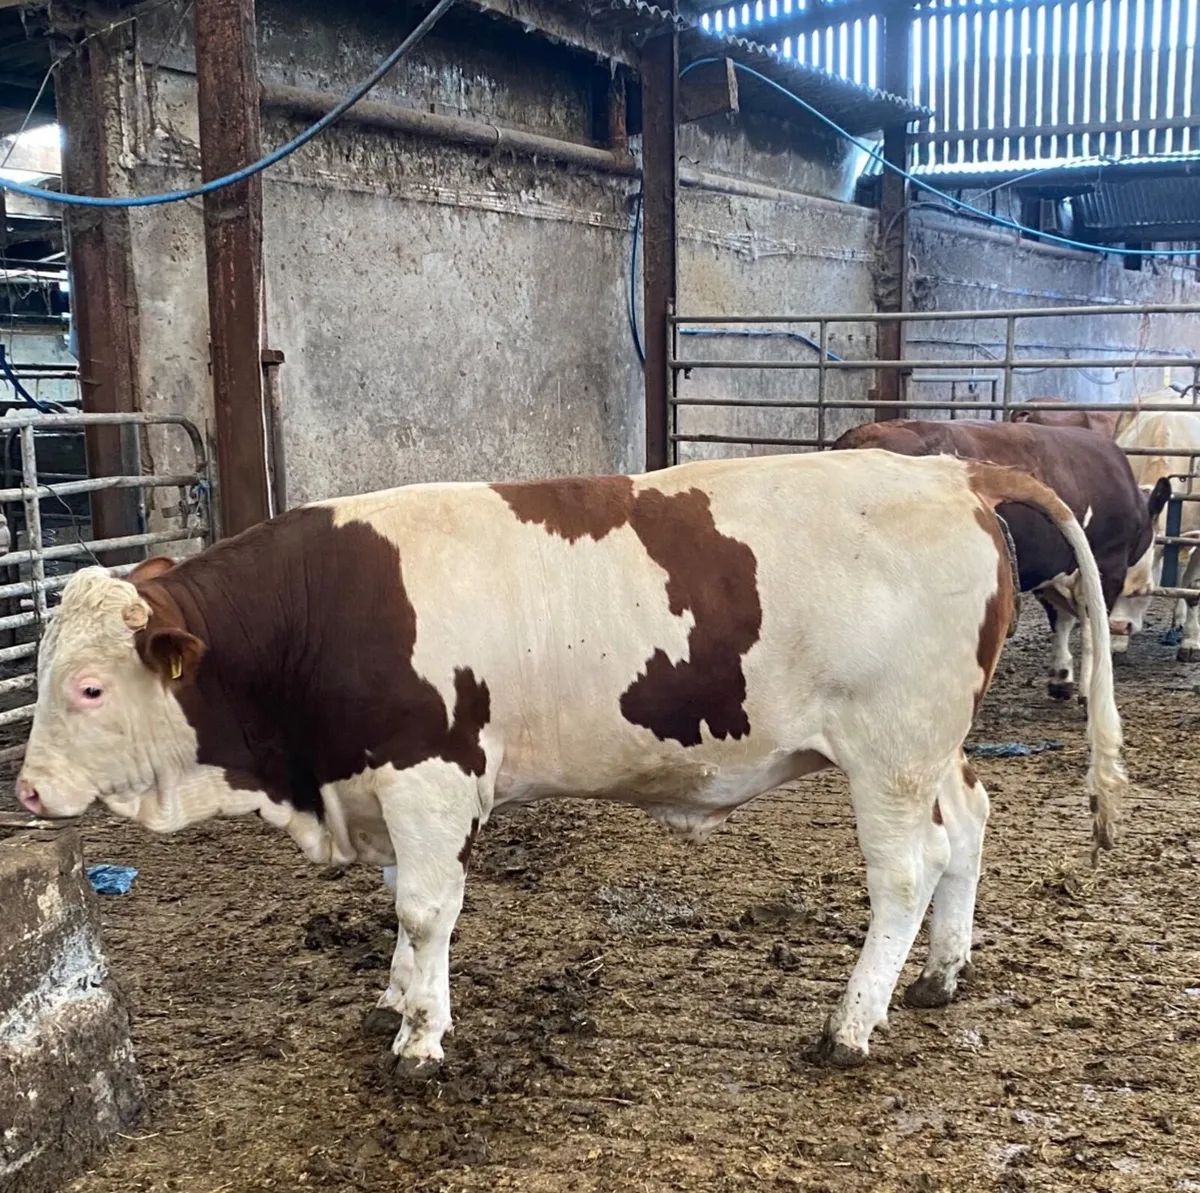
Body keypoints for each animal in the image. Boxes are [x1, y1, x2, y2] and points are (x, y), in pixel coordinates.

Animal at [13, 452, 1125, 1072]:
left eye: (91, 688)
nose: (24, 786)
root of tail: (951, 468)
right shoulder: (381, 783)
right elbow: (399, 905)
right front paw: (398, 996)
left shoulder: (429, 774)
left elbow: (426, 905)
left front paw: (421, 1038)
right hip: (934, 744)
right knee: (968, 825)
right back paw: (941, 972)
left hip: (889, 748)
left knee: (904, 871)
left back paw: (853, 1024)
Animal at [831, 419, 1168, 700]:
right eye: (1145, 590)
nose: (1124, 627)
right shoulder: (1107, 566)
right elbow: (1090, 630)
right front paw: (1088, 691)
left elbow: (1061, 621)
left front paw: (1061, 678)